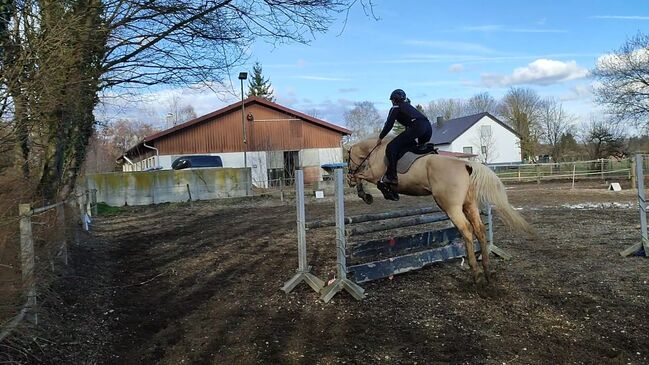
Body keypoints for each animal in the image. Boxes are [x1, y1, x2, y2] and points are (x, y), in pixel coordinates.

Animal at [344, 136, 532, 292]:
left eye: (348, 159)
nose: (349, 174)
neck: (376, 150)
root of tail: (466, 165)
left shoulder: (374, 176)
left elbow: (361, 176)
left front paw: (364, 193)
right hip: (469, 205)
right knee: (479, 229)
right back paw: (486, 271)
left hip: (450, 207)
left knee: (466, 230)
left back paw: (476, 275)